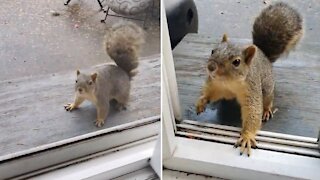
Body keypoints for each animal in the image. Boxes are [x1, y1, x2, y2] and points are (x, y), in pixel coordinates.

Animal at [195, 1, 302, 156]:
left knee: (268, 98)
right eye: (213, 50)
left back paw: (267, 109)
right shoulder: (215, 85)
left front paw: (247, 137)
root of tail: (264, 54)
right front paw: (201, 101)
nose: (210, 67)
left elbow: (253, 110)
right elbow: (209, 93)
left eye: (236, 62)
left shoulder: (251, 89)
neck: (229, 82)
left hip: (267, 86)